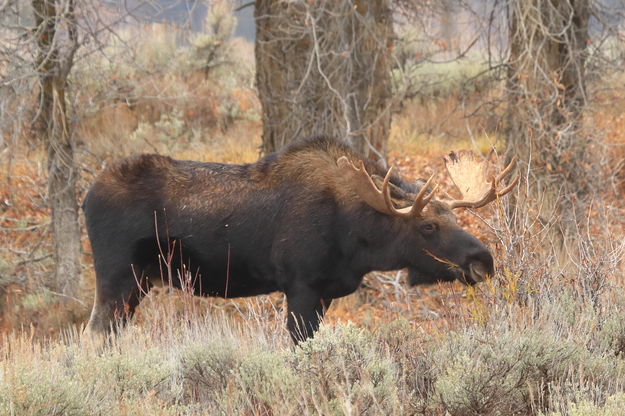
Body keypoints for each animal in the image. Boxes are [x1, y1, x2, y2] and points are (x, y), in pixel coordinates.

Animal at [85, 136, 520, 342]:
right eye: (427, 226)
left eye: (453, 217)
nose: (483, 260)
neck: (358, 243)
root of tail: (86, 197)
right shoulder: (301, 286)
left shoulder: (325, 293)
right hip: (116, 278)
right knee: (94, 335)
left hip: (139, 283)